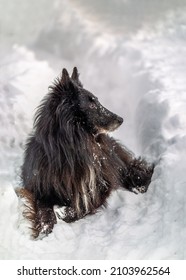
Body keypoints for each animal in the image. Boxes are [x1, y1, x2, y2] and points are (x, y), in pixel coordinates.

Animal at [20, 67, 154, 236]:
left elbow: (82, 207)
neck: (73, 150)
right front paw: (45, 227)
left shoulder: (99, 188)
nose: (120, 119)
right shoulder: (40, 190)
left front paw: (65, 213)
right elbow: (44, 209)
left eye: (97, 100)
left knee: (134, 170)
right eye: (91, 105)